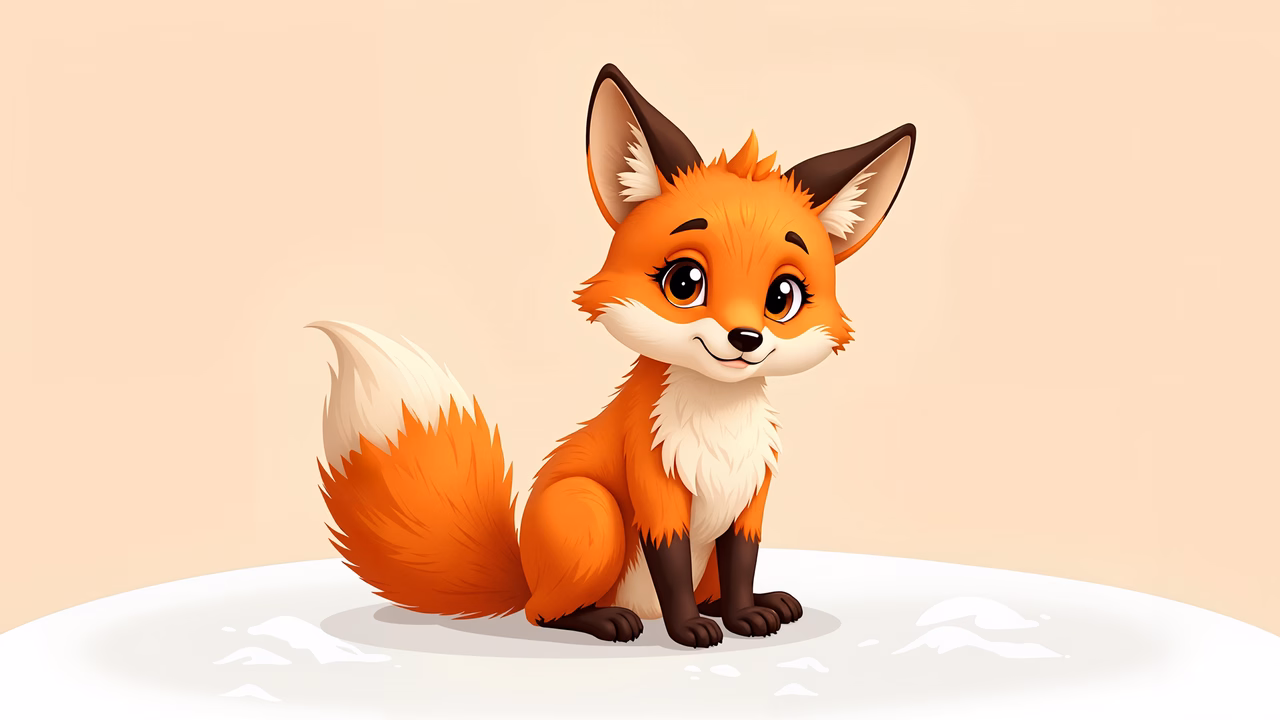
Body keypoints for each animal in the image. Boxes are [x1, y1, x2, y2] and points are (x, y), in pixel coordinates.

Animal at [310, 64, 915, 649]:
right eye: (685, 282)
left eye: (782, 297)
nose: (745, 339)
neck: (718, 428)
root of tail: (525, 571)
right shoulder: (653, 482)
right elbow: (671, 567)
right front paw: (688, 631)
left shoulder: (750, 496)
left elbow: (743, 564)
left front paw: (745, 614)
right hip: (592, 513)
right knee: (542, 614)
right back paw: (608, 621)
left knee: (707, 589)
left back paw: (757, 604)